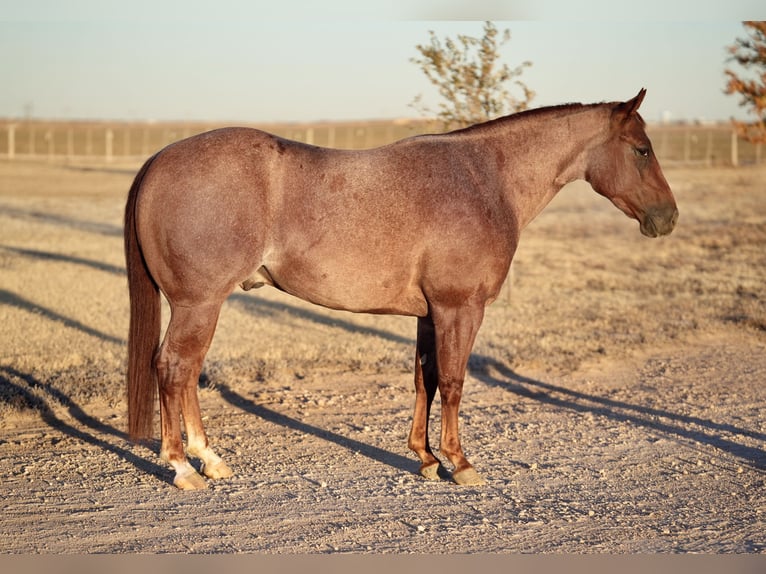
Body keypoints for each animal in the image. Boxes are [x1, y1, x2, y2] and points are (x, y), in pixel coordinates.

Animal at [124, 89, 680, 490]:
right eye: (642, 150)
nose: (668, 218)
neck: (485, 179)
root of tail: (158, 160)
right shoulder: (460, 308)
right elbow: (453, 382)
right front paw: (460, 463)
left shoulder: (428, 313)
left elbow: (424, 380)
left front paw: (426, 458)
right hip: (199, 304)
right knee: (174, 368)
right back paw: (182, 467)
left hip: (201, 306)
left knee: (186, 373)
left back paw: (210, 460)